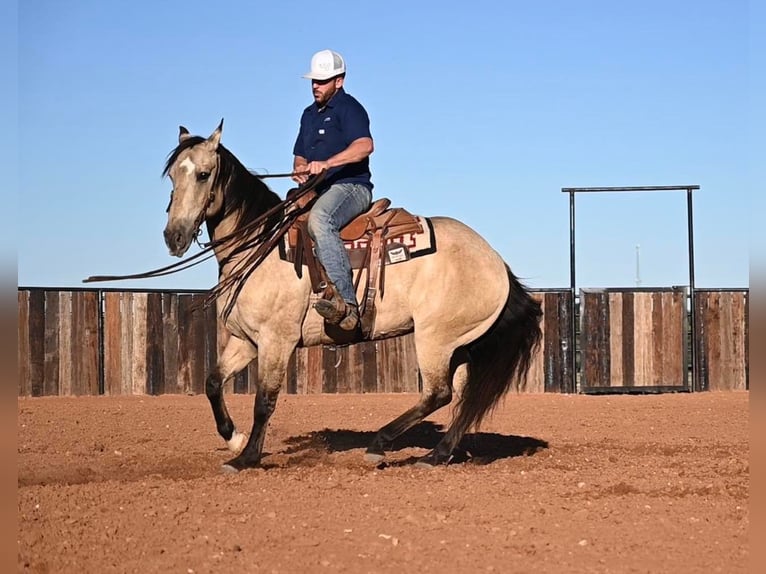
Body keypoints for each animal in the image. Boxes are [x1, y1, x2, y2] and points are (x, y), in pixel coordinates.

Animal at [160, 122, 544, 472]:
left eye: (204, 174)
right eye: (173, 177)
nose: (174, 237)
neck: (261, 245)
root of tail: (496, 262)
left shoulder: (276, 340)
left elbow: (264, 401)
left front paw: (247, 458)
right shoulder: (246, 340)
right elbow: (212, 383)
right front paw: (235, 439)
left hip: (434, 338)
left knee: (439, 393)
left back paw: (380, 445)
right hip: (458, 342)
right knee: (464, 396)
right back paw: (436, 454)